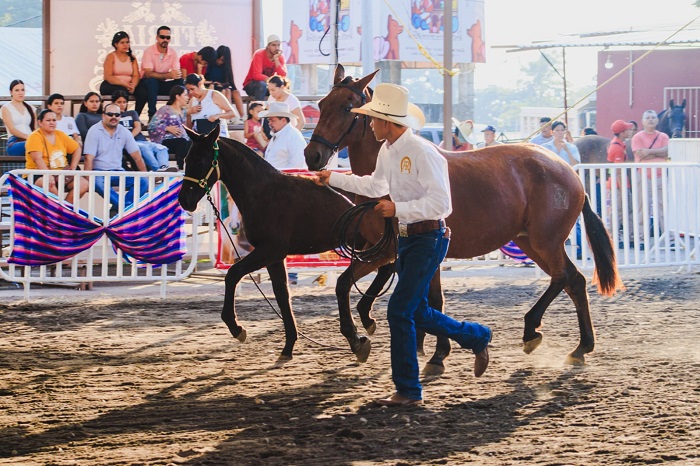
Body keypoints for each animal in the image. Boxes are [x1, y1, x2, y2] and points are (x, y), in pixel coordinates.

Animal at [178, 125, 382, 362]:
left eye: (201, 160)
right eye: (187, 159)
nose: (184, 200)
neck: (262, 192)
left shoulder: (269, 250)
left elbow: (233, 275)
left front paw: (236, 327)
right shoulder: (275, 257)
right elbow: (282, 295)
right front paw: (289, 345)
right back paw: (365, 321)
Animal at [304, 62, 620, 368]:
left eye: (347, 108)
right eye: (321, 104)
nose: (312, 155)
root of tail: (569, 171)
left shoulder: (392, 251)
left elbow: (425, 300)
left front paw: (432, 352)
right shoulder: (394, 253)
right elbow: (356, 286)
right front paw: (369, 338)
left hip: (546, 242)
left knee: (564, 277)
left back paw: (535, 331)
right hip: (530, 242)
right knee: (572, 281)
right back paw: (580, 347)